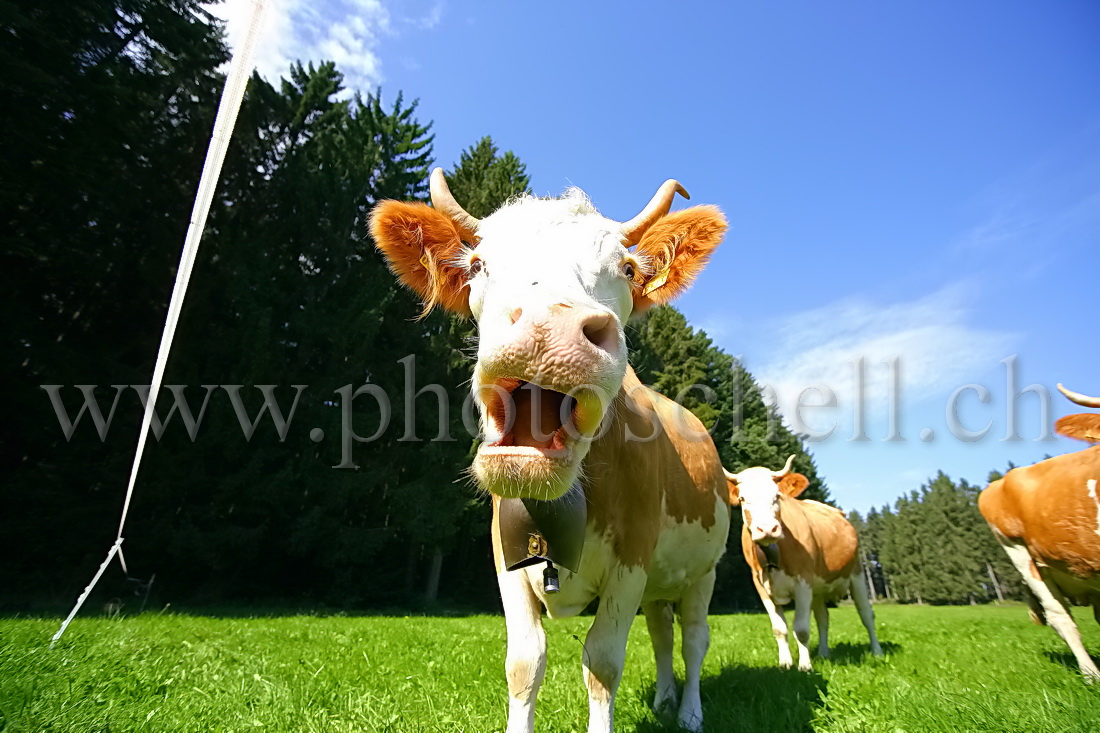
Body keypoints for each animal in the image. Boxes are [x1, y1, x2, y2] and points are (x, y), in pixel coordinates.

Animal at [369, 168, 730, 726]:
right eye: (478, 264)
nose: (549, 328)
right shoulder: (505, 558)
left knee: (693, 638)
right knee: (662, 634)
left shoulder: (633, 559)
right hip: (661, 585)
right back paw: (666, 699)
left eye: (627, 268)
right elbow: (524, 662)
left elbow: (602, 662)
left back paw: (689, 713)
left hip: (703, 573)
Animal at [721, 453, 884, 669]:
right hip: (819, 588)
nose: (767, 529)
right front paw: (785, 664)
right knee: (823, 618)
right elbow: (779, 628)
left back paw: (877, 651)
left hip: (856, 573)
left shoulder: (803, 582)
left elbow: (801, 628)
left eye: (777, 496)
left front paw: (805, 666)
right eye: (742, 498)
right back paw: (823, 653)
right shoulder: (761, 586)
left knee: (866, 614)